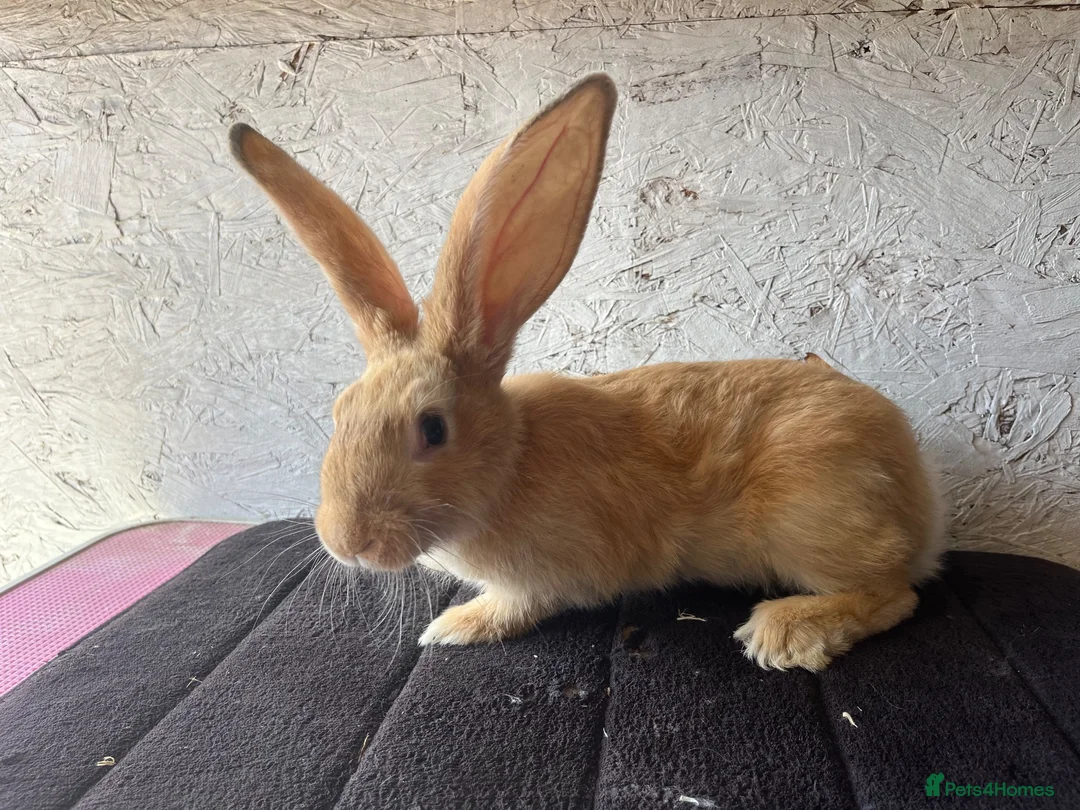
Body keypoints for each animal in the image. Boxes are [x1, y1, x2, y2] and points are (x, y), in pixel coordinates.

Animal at [228, 73, 946, 671]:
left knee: (894, 593)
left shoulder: (547, 575)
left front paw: (456, 626)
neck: (510, 465)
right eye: (338, 413)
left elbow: (516, 606)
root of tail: (918, 493)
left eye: (432, 429)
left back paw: (785, 634)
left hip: (810, 520)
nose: (345, 541)